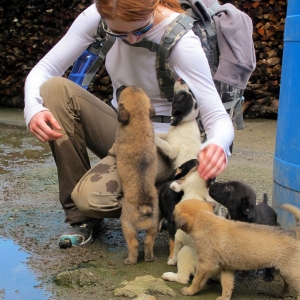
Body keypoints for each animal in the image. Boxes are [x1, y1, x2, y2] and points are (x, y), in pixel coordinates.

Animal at [109, 85, 161, 264]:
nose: (121, 86)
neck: (139, 118)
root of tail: (144, 206)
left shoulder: (116, 145)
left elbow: (112, 148)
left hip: (126, 224)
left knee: (133, 244)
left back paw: (130, 260)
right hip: (153, 226)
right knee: (148, 242)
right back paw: (150, 257)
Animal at [172, 199, 300, 300]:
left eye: (174, 214)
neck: (206, 222)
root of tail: (294, 233)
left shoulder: (205, 265)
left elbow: (197, 280)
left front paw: (189, 291)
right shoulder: (226, 267)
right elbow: (226, 284)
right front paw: (225, 297)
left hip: (290, 272)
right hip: (286, 273)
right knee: (288, 285)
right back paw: (282, 294)